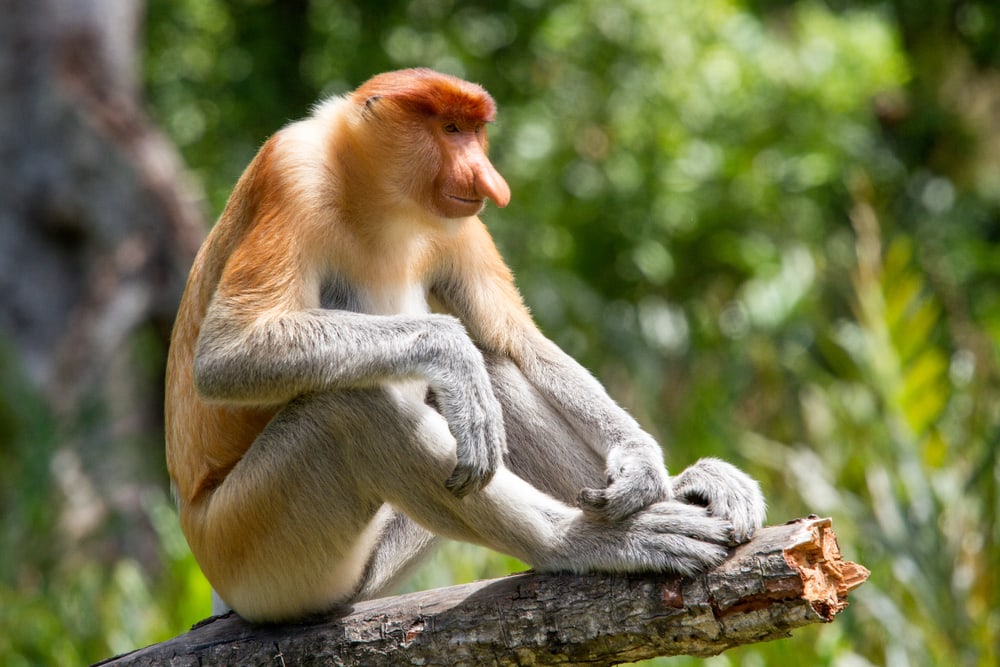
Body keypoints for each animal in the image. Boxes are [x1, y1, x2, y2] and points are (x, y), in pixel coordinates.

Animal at [164, 68, 766, 623]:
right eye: (450, 129)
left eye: (476, 132)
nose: (489, 181)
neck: (374, 197)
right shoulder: (292, 172)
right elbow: (227, 354)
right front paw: (452, 352)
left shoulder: (454, 219)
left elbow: (516, 340)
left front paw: (645, 464)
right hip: (256, 552)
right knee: (353, 413)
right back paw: (585, 542)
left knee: (491, 370)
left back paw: (683, 494)